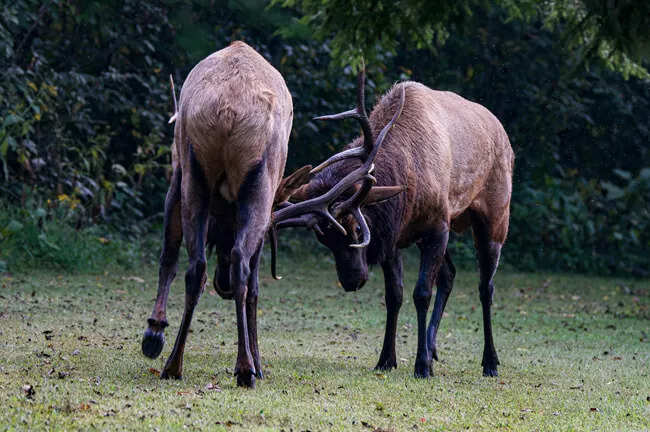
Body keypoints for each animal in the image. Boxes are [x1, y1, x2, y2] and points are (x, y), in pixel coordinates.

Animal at [140, 42, 405, 388]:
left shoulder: (180, 171)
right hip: (255, 180)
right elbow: (249, 285)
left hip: (195, 171)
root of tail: (229, 109)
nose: (222, 286)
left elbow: (173, 257)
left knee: (196, 267)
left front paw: (156, 334)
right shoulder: (263, 215)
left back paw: (174, 364)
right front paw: (257, 362)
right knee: (239, 264)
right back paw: (243, 369)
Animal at [273, 69, 514, 379]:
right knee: (449, 274)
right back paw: (433, 347)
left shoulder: (438, 225)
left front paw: (421, 366)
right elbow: (394, 295)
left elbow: (421, 292)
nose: (352, 280)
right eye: (324, 239)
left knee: (486, 287)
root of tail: (504, 134)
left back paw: (490, 361)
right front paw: (387, 359)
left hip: (495, 216)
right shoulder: (394, 236)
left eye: (356, 228)